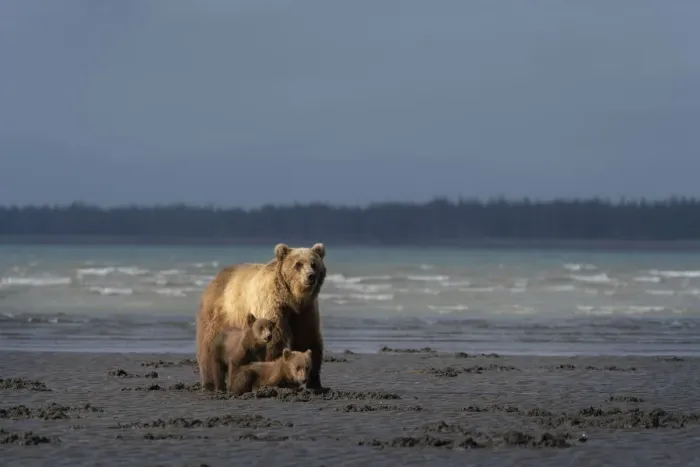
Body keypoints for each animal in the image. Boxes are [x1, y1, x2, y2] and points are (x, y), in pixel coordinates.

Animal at [196, 242, 327, 392]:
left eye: (314, 264)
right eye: (298, 264)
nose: (310, 276)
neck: (292, 299)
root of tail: (216, 277)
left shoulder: (305, 311)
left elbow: (308, 338)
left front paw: (314, 383)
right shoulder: (271, 306)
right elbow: (275, 340)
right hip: (218, 315)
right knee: (208, 346)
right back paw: (210, 383)